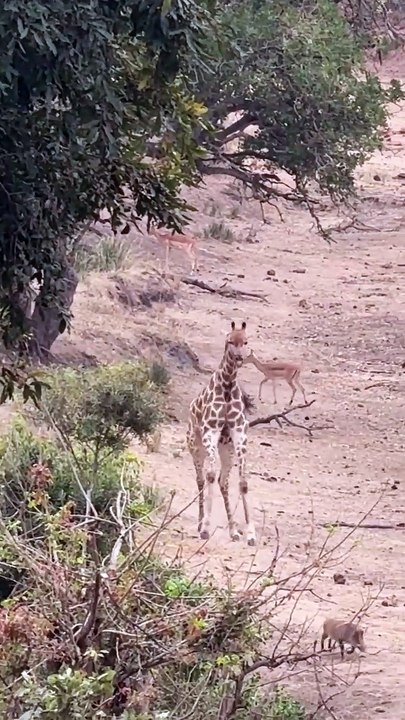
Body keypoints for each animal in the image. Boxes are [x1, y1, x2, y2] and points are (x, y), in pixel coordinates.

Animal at [186, 320, 256, 546]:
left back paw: (233, 530)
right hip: (195, 445)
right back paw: (200, 523)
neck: (227, 386)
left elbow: (243, 483)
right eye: (230, 341)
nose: (240, 358)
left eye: (246, 341)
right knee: (201, 479)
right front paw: (206, 528)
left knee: (222, 481)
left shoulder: (239, 433)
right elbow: (209, 475)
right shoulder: (211, 430)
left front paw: (250, 533)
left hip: (227, 449)